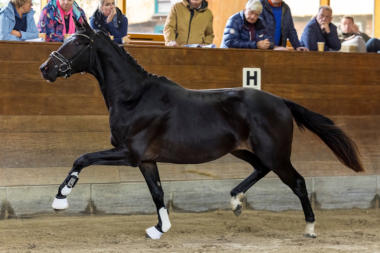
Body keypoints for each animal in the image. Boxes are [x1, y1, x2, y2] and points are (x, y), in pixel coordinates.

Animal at [39, 19, 362, 239]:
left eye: (77, 43)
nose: (46, 69)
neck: (135, 97)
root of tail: (281, 102)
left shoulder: (129, 153)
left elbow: (82, 158)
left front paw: (60, 200)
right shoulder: (146, 160)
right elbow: (157, 192)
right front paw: (160, 228)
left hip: (276, 154)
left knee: (298, 182)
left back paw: (309, 228)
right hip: (244, 150)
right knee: (261, 169)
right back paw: (235, 202)